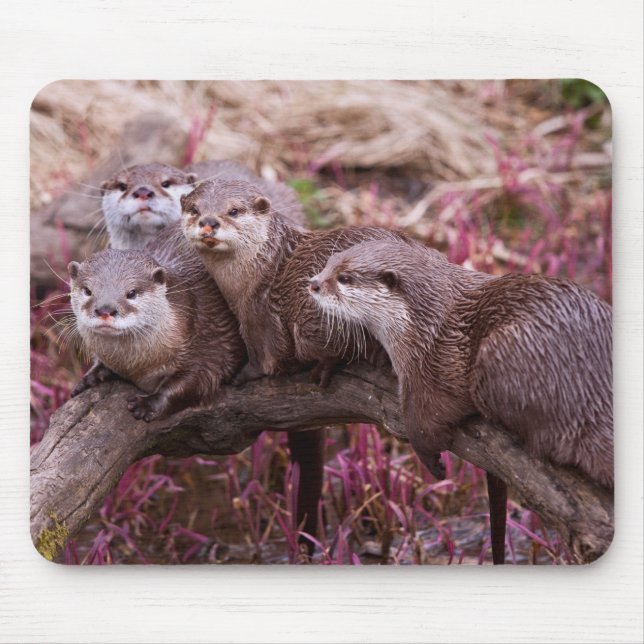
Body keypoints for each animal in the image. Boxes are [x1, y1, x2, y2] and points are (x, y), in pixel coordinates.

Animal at [68, 223, 246, 421]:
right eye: (87, 291)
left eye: (131, 293)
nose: (105, 309)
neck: (137, 367)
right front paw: (91, 377)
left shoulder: (209, 331)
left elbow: (199, 377)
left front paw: (146, 404)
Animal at [310, 239, 613, 489]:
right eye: (329, 262)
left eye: (344, 278)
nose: (313, 283)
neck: (425, 323)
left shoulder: (435, 365)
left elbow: (424, 421)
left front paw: (432, 460)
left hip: (503, 353)